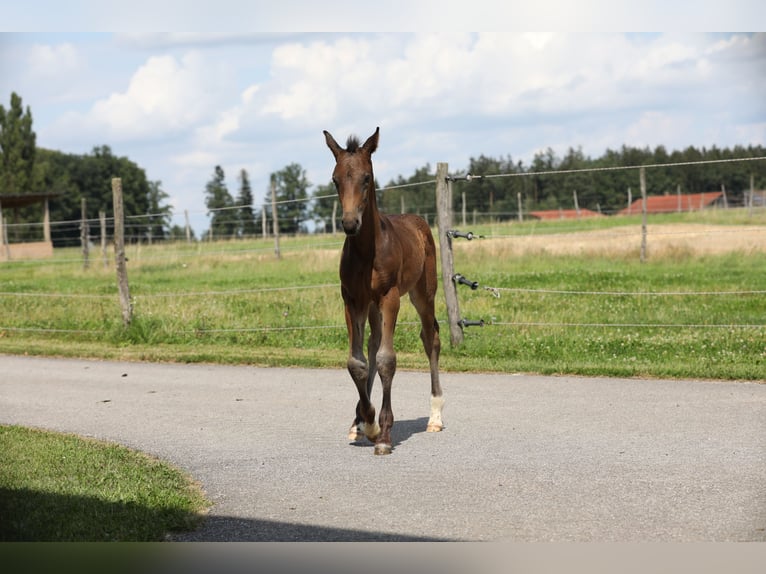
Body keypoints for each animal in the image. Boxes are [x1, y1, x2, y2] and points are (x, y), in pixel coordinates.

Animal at [324, 128, 444, 456]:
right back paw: (358, 422)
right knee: (372, 345)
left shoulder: (390, 297)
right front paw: (367, 422)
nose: (349, 223)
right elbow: (358, 362)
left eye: (366, 177)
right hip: (372, 306)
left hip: (423, 293)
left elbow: (387, 359)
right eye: (335, 179)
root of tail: (418, 220)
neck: (367, 251)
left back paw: (435, 416)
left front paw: (385, 435)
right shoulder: (352, 300)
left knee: (430, 338)